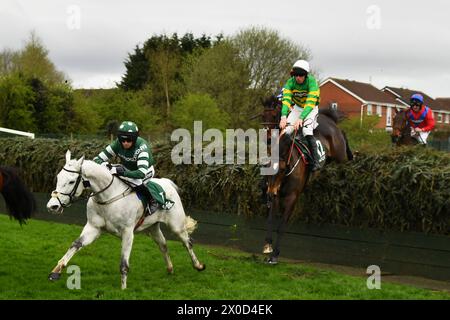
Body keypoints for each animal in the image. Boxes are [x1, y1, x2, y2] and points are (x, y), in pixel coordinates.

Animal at [47, 151, 206, 290]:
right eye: (58, 177)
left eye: (71, 181)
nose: (52, 206)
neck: (108, 197)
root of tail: (166, 182)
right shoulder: (93, 228)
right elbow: (76, 244)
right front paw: (56, 271)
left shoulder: (128, 232)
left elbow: (124, 263)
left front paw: (123, 289)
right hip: (152, 227)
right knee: (163, 245)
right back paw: (170, 268)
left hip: (176, 225)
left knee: (187, 243)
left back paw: (198, 265)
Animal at [260, 95, 356, 264]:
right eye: (262, 116)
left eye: (273, 115)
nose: (268, 138)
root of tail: (329, 119)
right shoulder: (276, 193)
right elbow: (271, 218)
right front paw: (268, 245)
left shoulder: (292, 197)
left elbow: (282, 225)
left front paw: (275, 254)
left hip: (340, 154)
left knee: (345, 146)